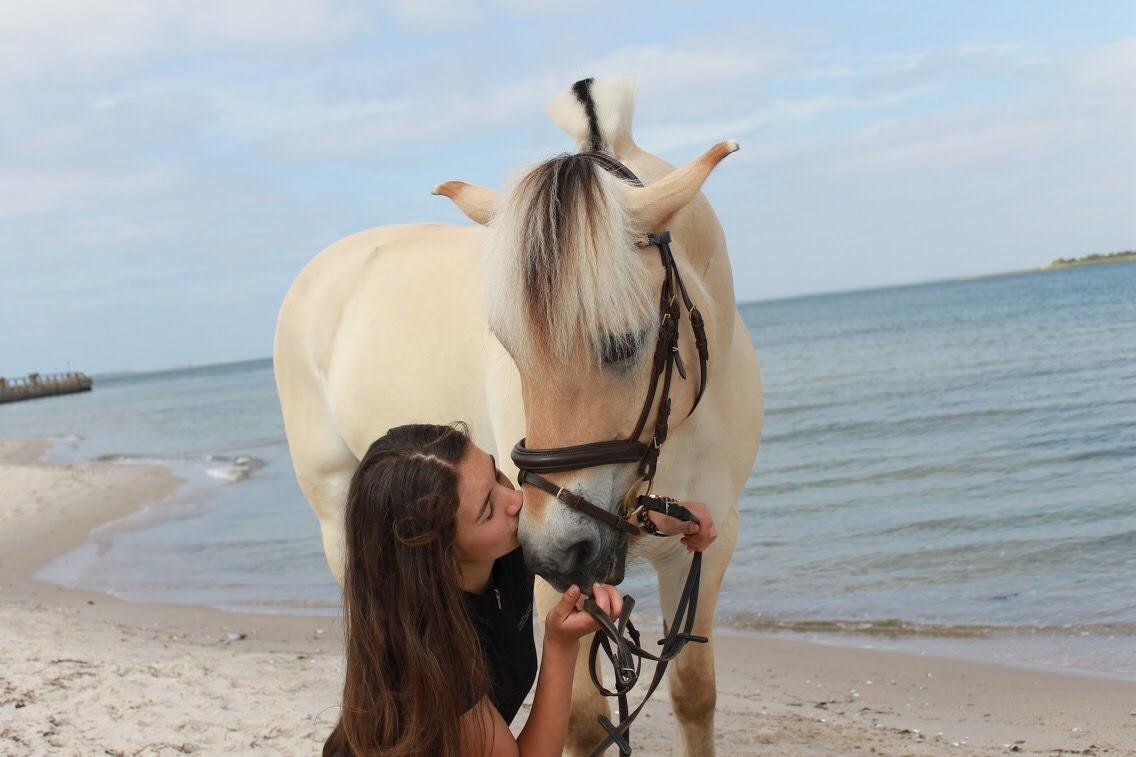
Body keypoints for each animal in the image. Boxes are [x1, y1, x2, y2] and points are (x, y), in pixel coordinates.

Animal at [272, 77, 763, 754]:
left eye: (625, 342)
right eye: (509, 345)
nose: (557, 550)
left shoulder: (708, 546)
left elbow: (694, 692)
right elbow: (580, 718)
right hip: (334, 506)